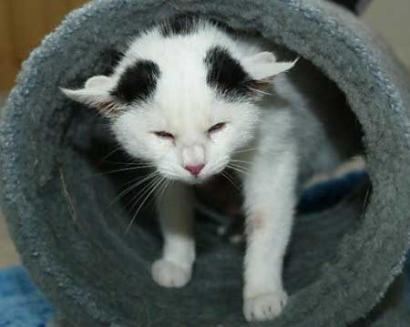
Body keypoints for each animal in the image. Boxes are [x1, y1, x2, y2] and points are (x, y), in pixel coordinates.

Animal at [62, 15, 344, 322]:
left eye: (217, 127)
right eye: (163, 135)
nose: (195, 165)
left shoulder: (274, 150)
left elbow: (266, 222)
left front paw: (262, 293)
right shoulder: (165, 171)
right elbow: (174, 208)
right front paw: (176, 261)